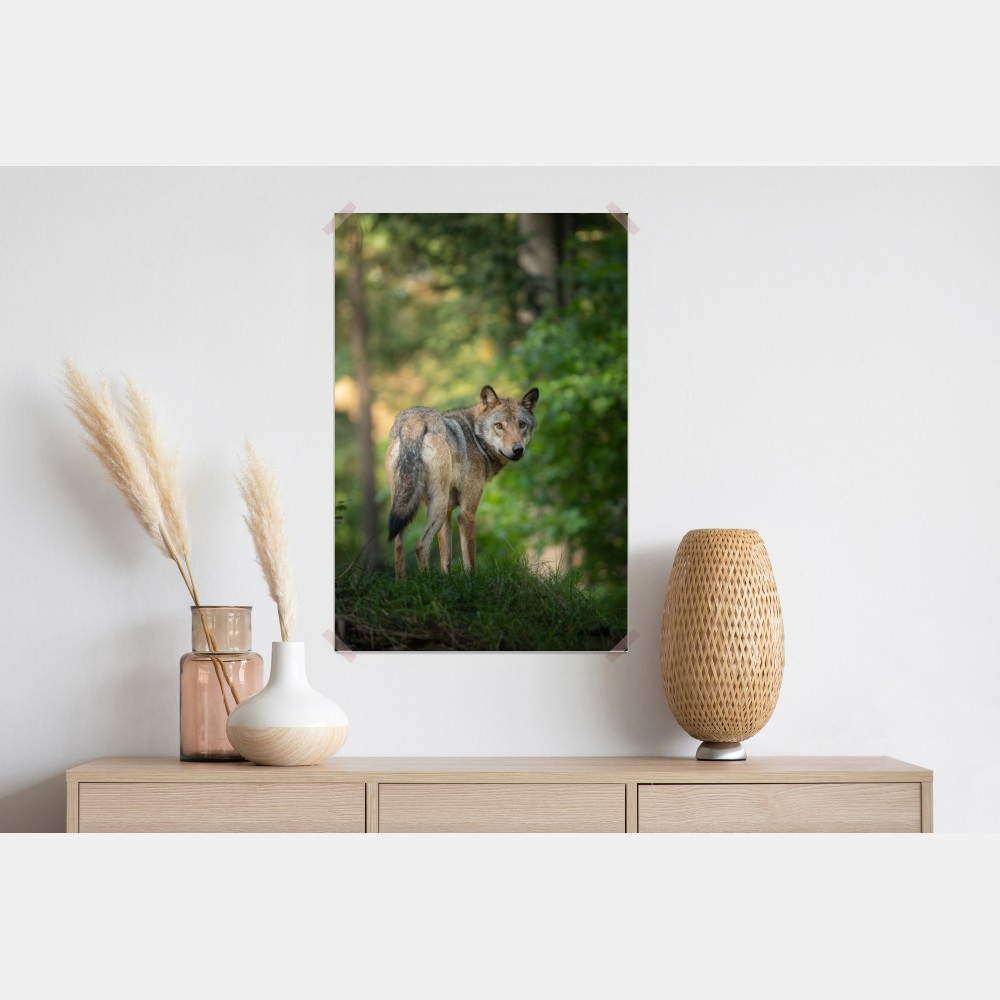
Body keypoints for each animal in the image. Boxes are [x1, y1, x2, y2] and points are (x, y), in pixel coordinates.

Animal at [385, 384, 539, 578]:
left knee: (398, 546)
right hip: (437, 506)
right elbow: (469, 561)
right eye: (499, 426)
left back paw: (402, 582)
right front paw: (471, 582)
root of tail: (414, 420)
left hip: (403, 506)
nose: (517, 449)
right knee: (421, 545)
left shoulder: (448, 514)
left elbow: (446, 561)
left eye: (521, 425)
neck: (476, 438)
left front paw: (446, 580)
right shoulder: (467, 513)